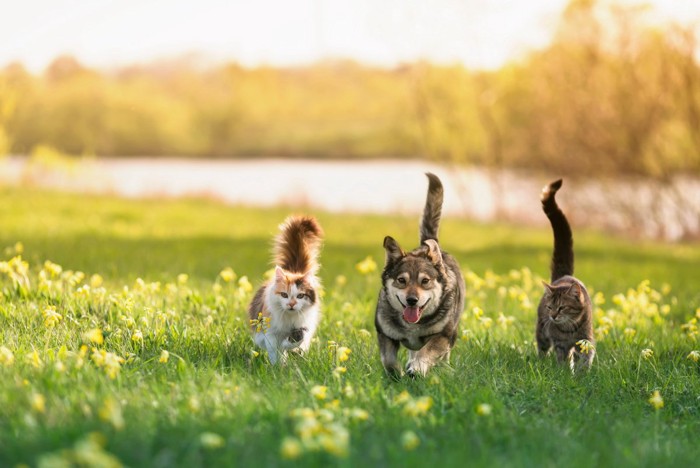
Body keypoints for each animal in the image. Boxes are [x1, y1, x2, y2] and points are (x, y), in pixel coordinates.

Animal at [246, 216, 322, 366]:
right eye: (284, 295)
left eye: (300, 296)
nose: (291, 304)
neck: (289, 319)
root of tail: (293, 271)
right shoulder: (270, 333)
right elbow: (275, 351)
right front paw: (278, 366)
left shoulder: (304, 327)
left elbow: (294, 343)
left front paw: (289, 349)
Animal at [372, 172, 464, 376]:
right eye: (401, 280)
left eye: (425, 281)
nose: (412, 300)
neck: (412, 326)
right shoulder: (386, 334)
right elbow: (388, 360)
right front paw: (396, 374)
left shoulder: (443, 335)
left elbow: (428, 351)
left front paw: (417, 368)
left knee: (443, 354)